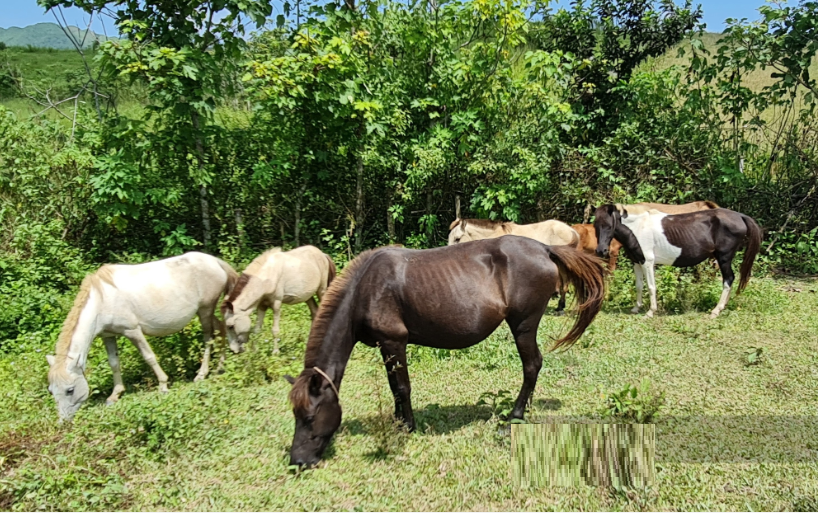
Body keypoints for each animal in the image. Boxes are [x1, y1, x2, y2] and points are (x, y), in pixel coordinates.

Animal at [45, 252, 236, 420]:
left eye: (70, 390)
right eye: (51, 391)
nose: (63, 421)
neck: (102, 299)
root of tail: (215, 261)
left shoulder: (133, 331)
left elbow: (149, 356)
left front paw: (163, 385)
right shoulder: (108, 336)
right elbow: (114, 363)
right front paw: (115, 395)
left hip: (205, 309)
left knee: (208, 338)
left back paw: (202, 374)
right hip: (205, 311)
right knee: (221, 329)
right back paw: (220, 367)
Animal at [284, 238, 604, 466]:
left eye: (309, 417)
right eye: (295, 415)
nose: (298, 461)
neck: (365, 289)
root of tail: (545, 248)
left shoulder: (394, 342)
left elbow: (402, 387)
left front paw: (408, 426)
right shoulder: (385, 347)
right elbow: (392, 387)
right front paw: (398, 421)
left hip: (523, 325)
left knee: (532, 365)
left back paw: (514, 416)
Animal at [592, 203, 760, 316]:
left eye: (609, 225)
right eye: (595, 225)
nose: (601, 251)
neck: (638, 228)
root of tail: (740, 216)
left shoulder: (648, 263)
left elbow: (651, 287)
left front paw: (650, 312)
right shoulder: (637, 263)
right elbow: (639, 286)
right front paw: (636, 308)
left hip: (724, 257)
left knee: (728, 279)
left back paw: (716, 310)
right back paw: (722, 307)